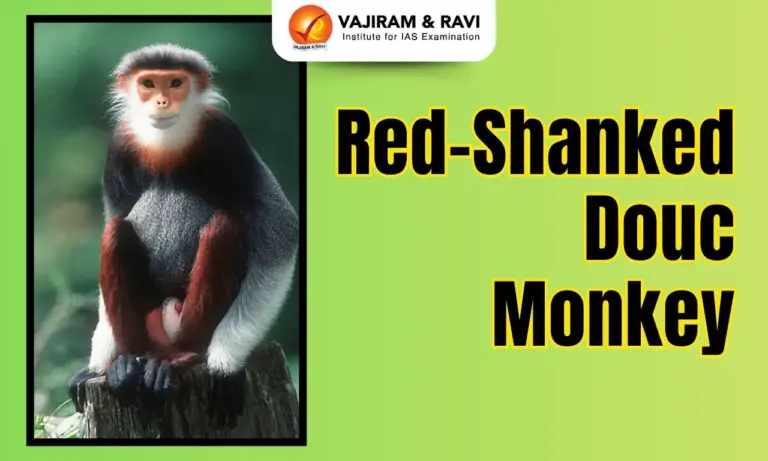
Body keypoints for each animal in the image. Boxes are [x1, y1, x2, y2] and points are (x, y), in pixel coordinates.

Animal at [66, 44, 299, 425]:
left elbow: (282, 232)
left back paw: (181, 358)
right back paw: (128, 363)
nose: (162, 101)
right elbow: (114, 216)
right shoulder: (119, 145)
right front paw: (97, 364)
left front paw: (224, 363)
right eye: (148, 83)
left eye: (176, 83)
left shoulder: (227, 136)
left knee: (222, 226)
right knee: (116, 230)